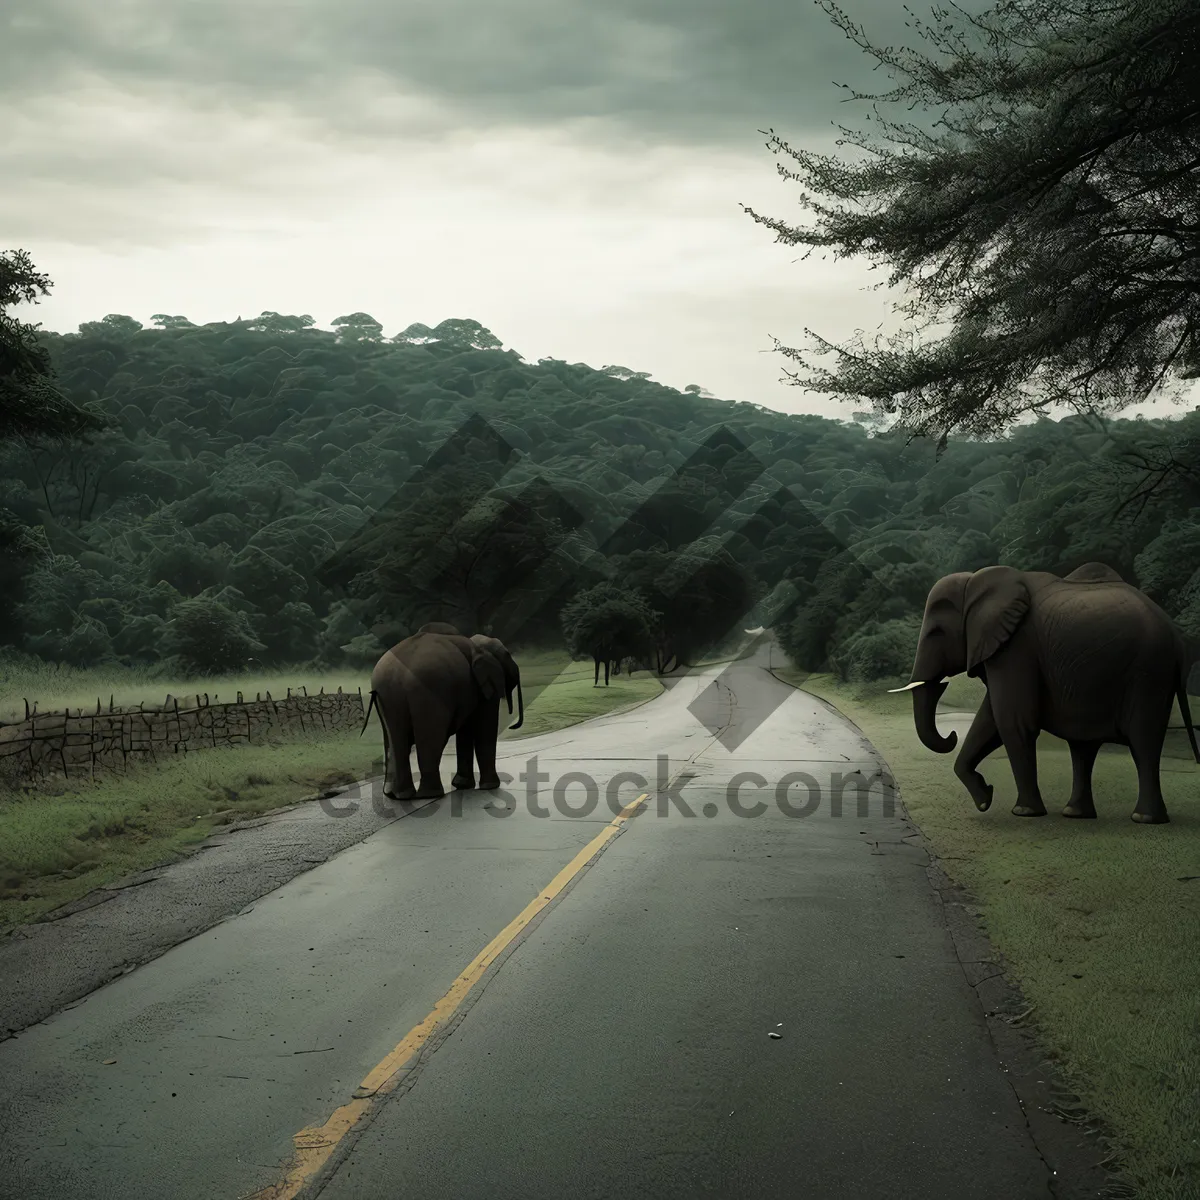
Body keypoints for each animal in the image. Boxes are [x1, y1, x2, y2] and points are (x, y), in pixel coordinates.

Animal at [357, 624, 523, 801]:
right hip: (428, 690)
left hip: (387, 694)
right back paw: (430, 794)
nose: (514, 726)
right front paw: (490, 786)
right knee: (430, 739)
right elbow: (484, 727)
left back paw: (398, 795)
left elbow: (466, 730)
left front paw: (462, 785)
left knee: (394, 739)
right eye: (507, 654)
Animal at [892, 561, 1200, 825]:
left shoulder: (1017, 646)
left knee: (1143, 742)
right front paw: (984, 799)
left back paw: (1144, 819)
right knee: (1084, 746)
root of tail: (1177, 639)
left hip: (1149, 671)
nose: (952, 735)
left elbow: (1012, 721)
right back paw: (1076, 814)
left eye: (936, 632)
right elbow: (990, 721)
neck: (975, 580)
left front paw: (1023, 813)